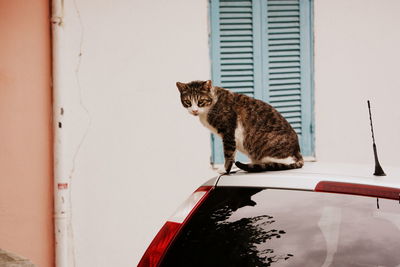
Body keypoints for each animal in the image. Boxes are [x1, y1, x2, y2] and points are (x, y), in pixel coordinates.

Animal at [175, 80, 304, 175]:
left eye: (201, 101)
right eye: (187, 102)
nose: (194, 110)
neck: (212, 104)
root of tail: (297, 151)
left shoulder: (228, 131)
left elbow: (228, 153)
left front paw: (225, 169)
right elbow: (233, 152)